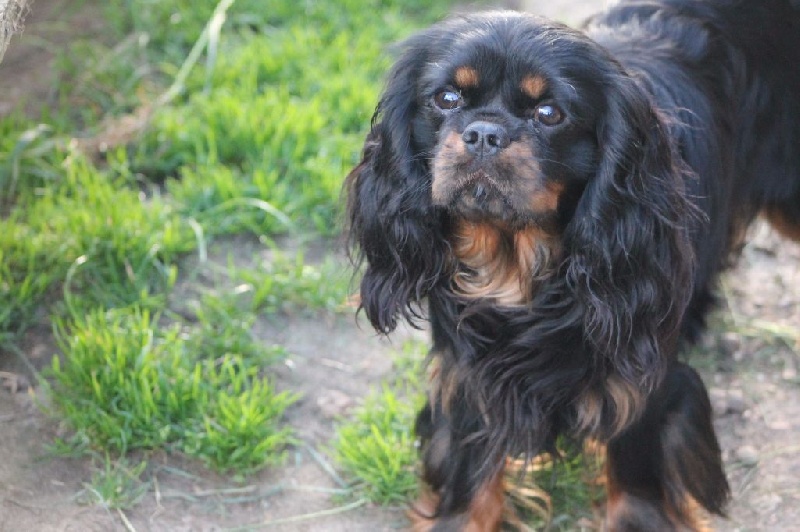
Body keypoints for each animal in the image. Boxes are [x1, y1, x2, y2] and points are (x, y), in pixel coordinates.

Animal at [344, 2, 800, 528]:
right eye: (447, 98)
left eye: (549, 114)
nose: (484, 133)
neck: (519, 269)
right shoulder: (470, 377)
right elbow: (470, 480)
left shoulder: (642, 381)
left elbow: (635, 480)